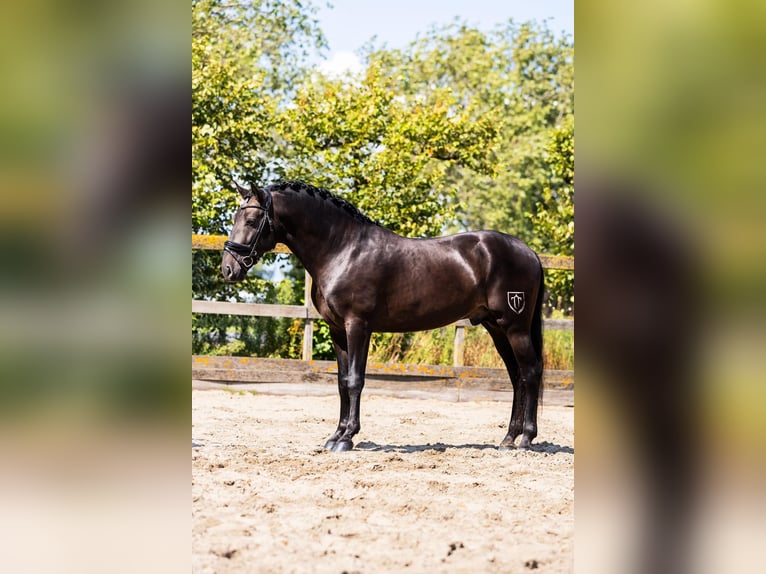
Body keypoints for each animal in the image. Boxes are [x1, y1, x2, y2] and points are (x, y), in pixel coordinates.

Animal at [222, 182, 544, 452]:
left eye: (251, 221)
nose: (228, 268)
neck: (343, 249)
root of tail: (529, 252)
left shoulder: (357, 326)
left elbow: (356, 380)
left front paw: (348, 438)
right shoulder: (337, 330)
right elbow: (342, 382)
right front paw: (335, 436)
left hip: (514, 327)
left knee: (530, 372)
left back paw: (525, 439)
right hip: (496, 328)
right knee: (516, 376)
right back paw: (508, 438)